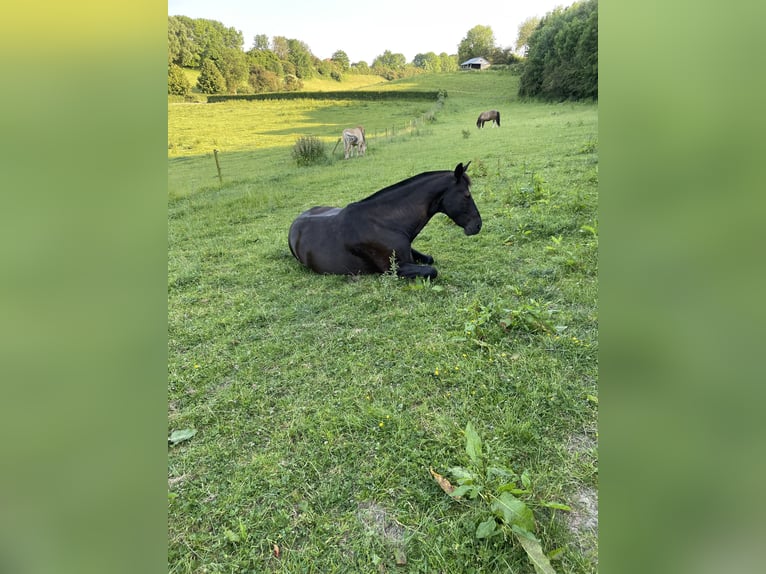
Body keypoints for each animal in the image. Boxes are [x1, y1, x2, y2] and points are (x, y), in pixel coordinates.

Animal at [288, 162, 481, 279]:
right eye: (467, 195)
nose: (478, 225)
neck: (386, 222)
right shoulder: (394, 269)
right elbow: (432, 270)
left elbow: (429, 259)